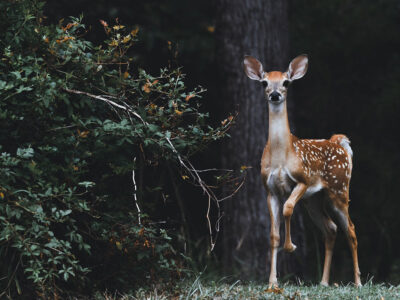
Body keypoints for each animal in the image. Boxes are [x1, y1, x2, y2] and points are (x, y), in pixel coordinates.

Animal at [244, 54, 362, 288]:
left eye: (286, 82)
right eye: (264, 83)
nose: (275, 94)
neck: (281, 155)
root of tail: (339, 142)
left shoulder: (303, 180)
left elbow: (288, 208)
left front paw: (291, 246)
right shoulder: (270, 190)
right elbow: (273, 235)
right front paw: (272, 282)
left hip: (339, 189)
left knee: (351, 230)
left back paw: (358, 282)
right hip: (314, 200)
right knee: (331, 229)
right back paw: (323, 282)